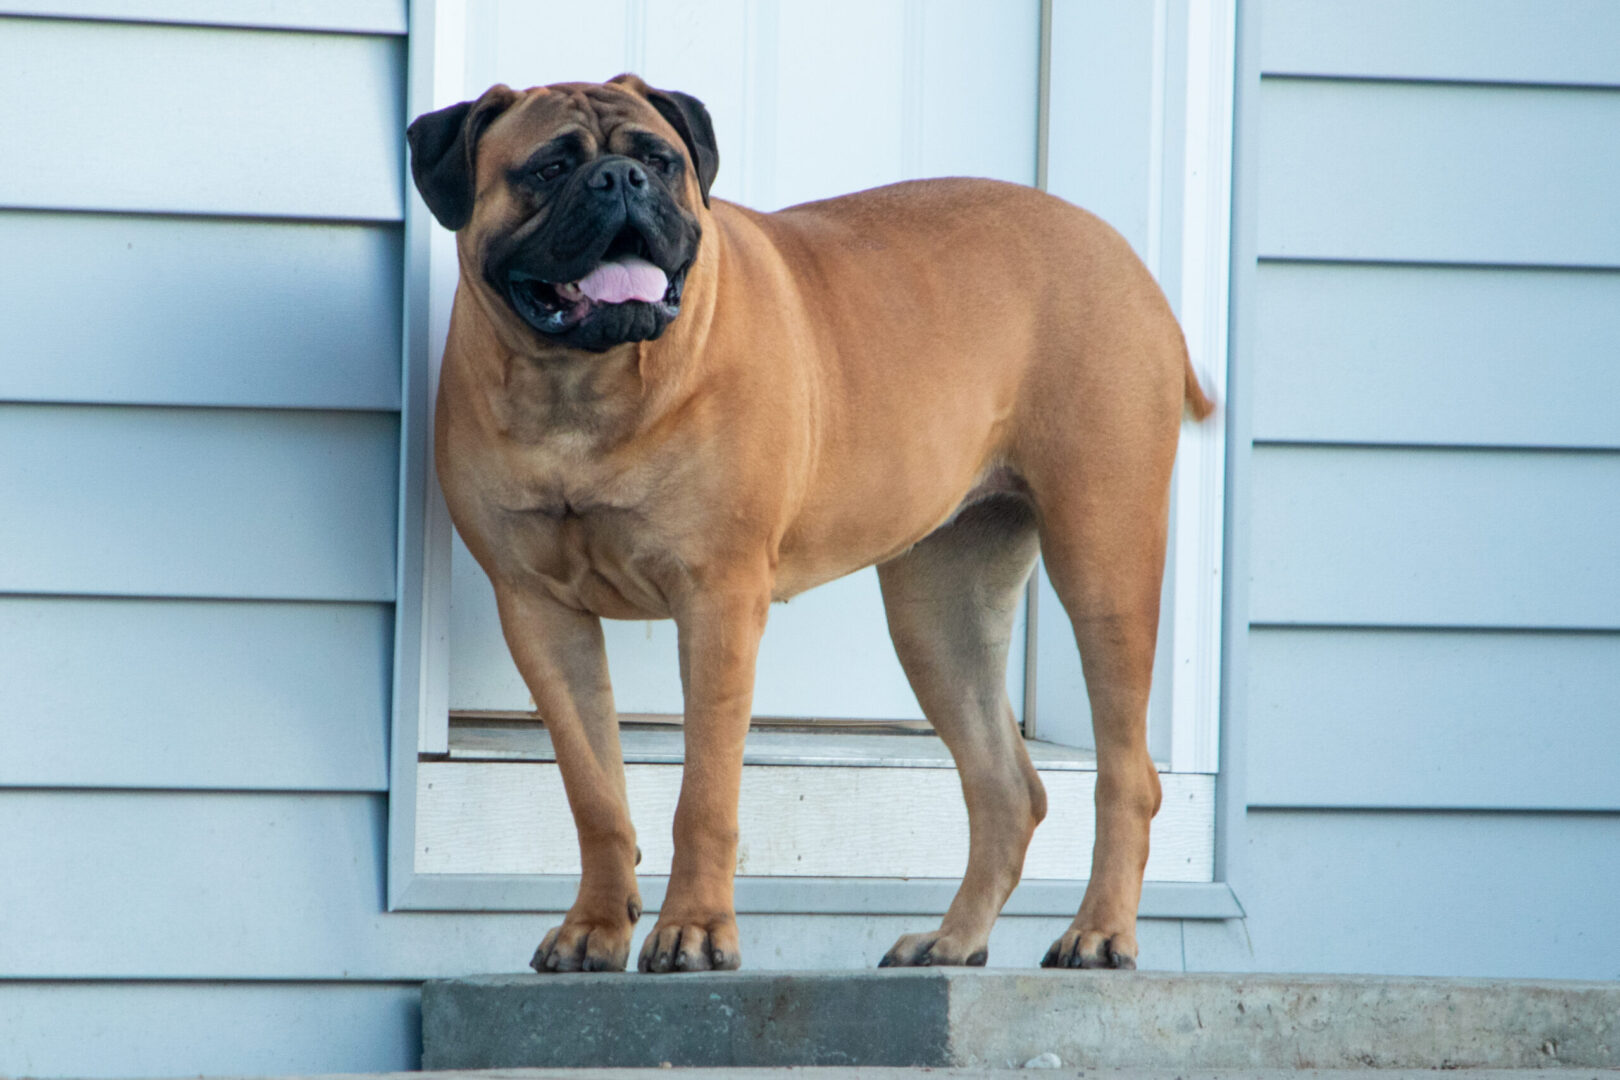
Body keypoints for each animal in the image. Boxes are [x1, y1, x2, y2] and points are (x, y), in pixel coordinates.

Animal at [411, 71, 1211, 977]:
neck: (579, 387)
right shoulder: (538, 611)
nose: (621, 181)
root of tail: (1124, 255)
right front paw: (594, 928)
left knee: (1127, 775)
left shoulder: (718, 602)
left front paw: (693, 930)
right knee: (1007, 788)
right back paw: (952, 940)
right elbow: (595, 792)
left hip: (1103, 562)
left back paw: (1100, 932)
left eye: (661, 159)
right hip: (941, 613)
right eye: (548, 168)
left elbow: (705, 792)